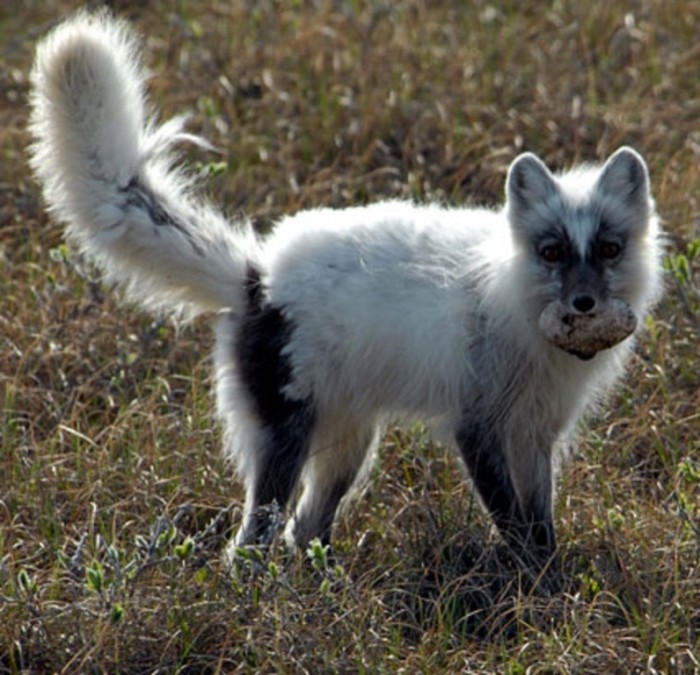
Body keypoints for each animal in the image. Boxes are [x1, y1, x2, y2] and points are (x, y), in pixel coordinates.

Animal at [29, 10, 663, 569]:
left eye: (609, 249)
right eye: (552, 252)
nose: (584, 304)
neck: (512, 297)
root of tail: (257, 275)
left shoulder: (536, 432)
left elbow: (541, 520)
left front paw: (550, 577)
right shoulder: (478, 426)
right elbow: (512, 521)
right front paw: (534, 584)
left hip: (348, 444)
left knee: (304, 529)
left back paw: (324, 588)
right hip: (285, 434)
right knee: (253, 542)